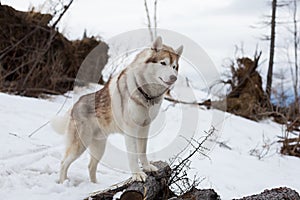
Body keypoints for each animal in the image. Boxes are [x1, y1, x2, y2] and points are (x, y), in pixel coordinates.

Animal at [51, 36, 183, 184]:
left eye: (174, 67)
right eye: (163, 63)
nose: (174, 78)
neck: (146, 93)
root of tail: (76, 103)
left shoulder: (144, 127)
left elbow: (142, 152)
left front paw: (147, 167)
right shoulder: (131, 130)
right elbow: (133, 156)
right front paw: (137, 174)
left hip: (99, 147)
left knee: (91, 166)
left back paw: (94, 185)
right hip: (80, 145)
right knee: (64, 163)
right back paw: (63, 183)